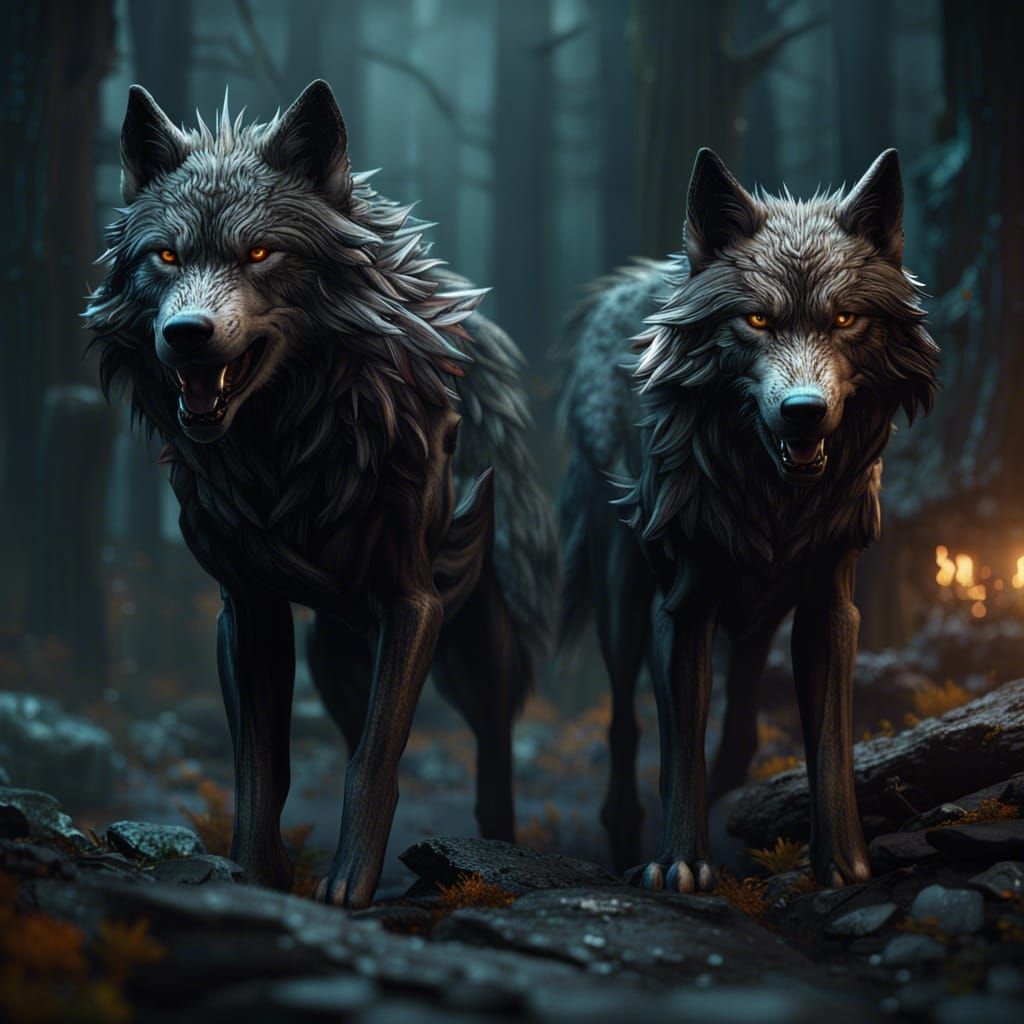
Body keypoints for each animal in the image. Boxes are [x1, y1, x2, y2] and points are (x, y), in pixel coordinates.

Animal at [85, 81, 558, 908]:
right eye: (165, 256)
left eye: (260, 253)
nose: (186, 333)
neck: (286, 448)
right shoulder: (249, 607)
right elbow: (260, 765)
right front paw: (253, 874)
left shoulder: (414, 602)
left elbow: (373, 760)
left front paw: (349, 885)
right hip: (334, 657)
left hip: (477, 650)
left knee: (490, 745)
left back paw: (498, 851)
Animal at [560, 148, 939, 890]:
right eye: (758, 322)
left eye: (845, 320)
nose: (803, 411)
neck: (771, 493)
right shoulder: (684, 604)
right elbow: (680, 741)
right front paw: (680, 861)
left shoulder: (828, 603)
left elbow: (828, 739)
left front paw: (843, 863)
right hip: (623, 595)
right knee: (626, 721)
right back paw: (625, 830)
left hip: (760, 613)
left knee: (738, 722)